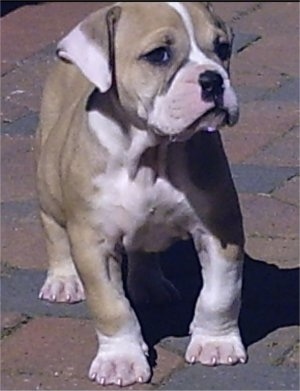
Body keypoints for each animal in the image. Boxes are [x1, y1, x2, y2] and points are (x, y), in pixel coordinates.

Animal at [35, 2, 246, 388]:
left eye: (222, 48)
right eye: (158, 55)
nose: (213, 79)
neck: (151, 153)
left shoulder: (220, 228)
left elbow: (220, 294)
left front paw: (216, 344)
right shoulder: (94, 244)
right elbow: (112, 307)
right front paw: (120, 360)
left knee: (143, 249)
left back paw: (151, 285)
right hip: (46, 178)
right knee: (53, 229)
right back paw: (63, 280)